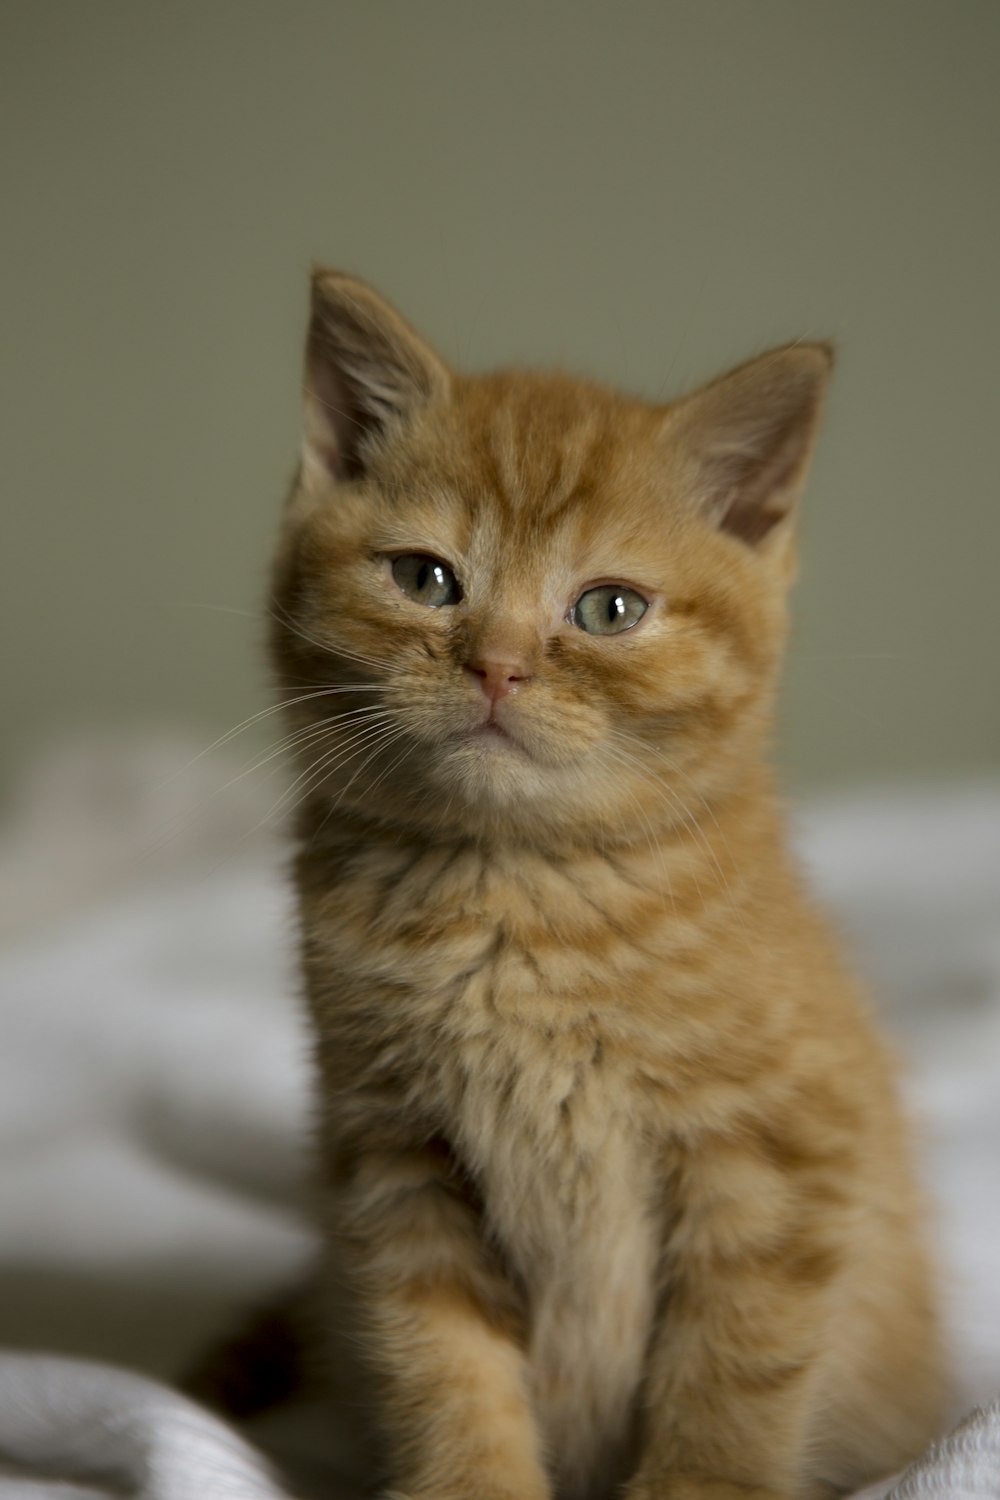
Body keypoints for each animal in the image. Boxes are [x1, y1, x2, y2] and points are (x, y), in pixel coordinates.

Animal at [271, 273, 947, 1500]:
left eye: (608, 609)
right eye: (424, 578)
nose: (496, 664)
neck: (514, 903)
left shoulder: (781, 1156)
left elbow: (732, 1379)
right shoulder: (397, 1161)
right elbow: (439, 1367)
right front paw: (471, 1483)